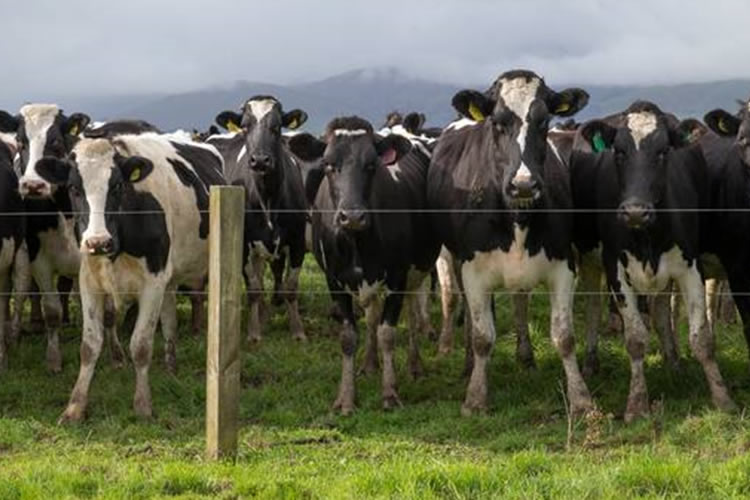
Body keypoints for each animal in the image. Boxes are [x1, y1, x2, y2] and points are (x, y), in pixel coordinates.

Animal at [36, 131, 223, 420]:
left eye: (116, 187)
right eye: (74, 189)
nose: (98, 242)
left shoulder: (153, 282)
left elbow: (141, 345)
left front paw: (143, 404)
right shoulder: (89, 281)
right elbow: (89, 346)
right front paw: (75, 407)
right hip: (168, 280)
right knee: (169, 320)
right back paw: (171, 366)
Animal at [212, 95, 308, 342]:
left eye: (277, 126)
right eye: (245, 126)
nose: (260, 161)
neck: (268, 198)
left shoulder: (297, 240)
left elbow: (290, 286)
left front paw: (298, 330)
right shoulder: (243, 242)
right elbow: (254, 289)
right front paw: (254, 332)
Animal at [286, 115, 440, 412]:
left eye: (372, 165)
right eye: (328, 164)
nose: (353, 216)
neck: (357, 242)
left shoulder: (397, 277)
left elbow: (388, 333)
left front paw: (390, 393)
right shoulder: (334, 280)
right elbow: (349, 337)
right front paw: (346, 398)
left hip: (418, 270)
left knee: (414, 314)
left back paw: (415, 366)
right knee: (371, 316)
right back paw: (369, 364)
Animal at [426, 68, 596, 416]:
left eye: (544, 122)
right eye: (497, 122)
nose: (524, 185)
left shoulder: (563, 265)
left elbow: (564, 336)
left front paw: (581, 398)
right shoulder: (473, 269)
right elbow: (482, 336)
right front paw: (475, 397)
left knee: (520, 300)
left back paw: (525, 356)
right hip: (449, 255)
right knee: (460, 304)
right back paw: (465, 362)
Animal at [572, 99, 736, 420]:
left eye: (663, 152)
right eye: (618, 152)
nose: (636, 211)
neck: (646, 238)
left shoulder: (689, 267)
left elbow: (702, 339)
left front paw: (722, 398)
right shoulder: (614, 269)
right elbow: (635, 339)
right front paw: (636, 404)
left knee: (661, 314)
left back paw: (674, 364)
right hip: (588, 261)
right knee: (594, 307)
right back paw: (590, 363)